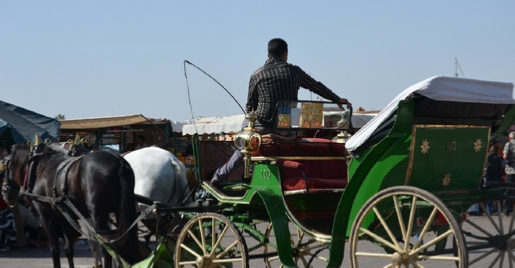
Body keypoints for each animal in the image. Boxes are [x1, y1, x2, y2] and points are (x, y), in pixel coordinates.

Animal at [0, 143, 149, 268]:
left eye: (6, 165)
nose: (5, 192)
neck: (41, 167)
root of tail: (119, 162)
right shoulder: (65, 219)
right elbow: (68, 250)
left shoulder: (46, 218)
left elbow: (54, 250)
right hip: (120, 212)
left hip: (99, 216)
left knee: (107, 248)